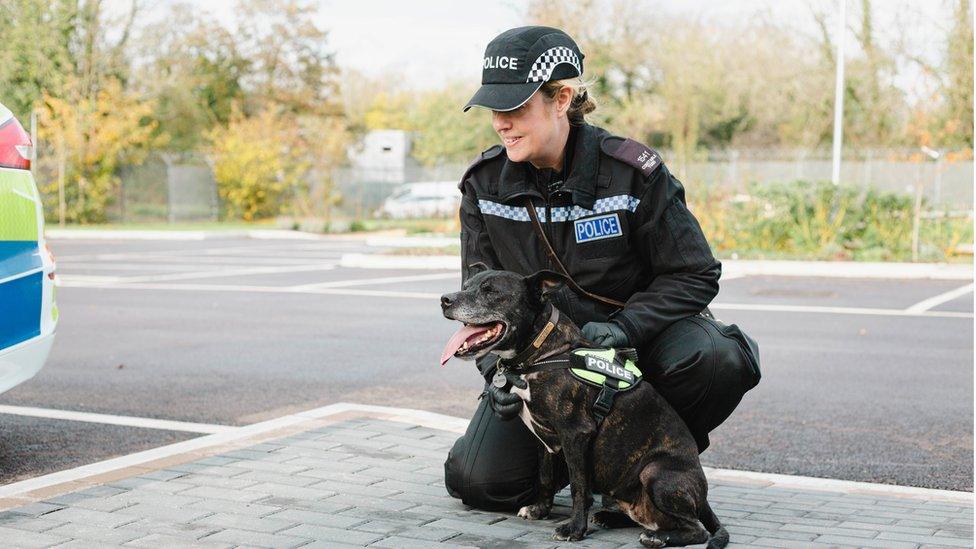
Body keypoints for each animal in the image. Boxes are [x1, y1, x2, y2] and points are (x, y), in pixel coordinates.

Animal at [438, 264, 728, 544]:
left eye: (490, 291)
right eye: (467, 285)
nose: (445, 299)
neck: (542, 351)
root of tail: (703, 498)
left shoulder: (576, 434)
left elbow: (579, 487)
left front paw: (575, 529)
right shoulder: (545, 439)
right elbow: (545, 477)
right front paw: (540, 509)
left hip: (655, 472)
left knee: (696, 529)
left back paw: (657, 538)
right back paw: (611, 518)